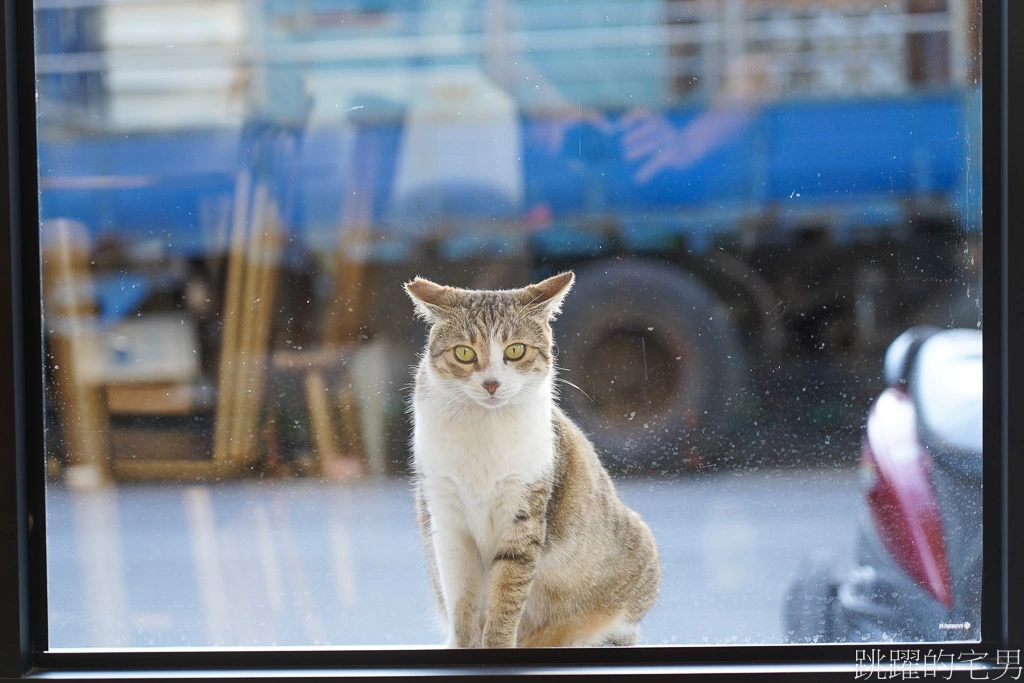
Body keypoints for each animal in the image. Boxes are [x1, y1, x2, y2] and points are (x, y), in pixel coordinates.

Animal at [403, 270, 659, 647]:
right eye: (464, 353)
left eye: (515, 350)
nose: (492, 384)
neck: (484, 428)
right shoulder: (446, 518)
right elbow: (461, 598)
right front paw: (463, 645)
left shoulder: (524, 513)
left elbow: (506, 594)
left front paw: (496, 644)